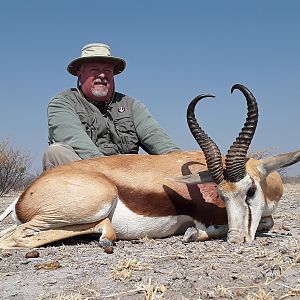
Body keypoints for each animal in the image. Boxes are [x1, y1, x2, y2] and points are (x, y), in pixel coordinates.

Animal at [0, 84, 300, 251]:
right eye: (221, 194)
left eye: (250, 191)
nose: (236, 241)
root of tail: (24, 195)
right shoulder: (208, 217)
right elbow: (215, 228)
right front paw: (193, 234)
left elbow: (268, 221)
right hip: (93, 204)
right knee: (15, 237)